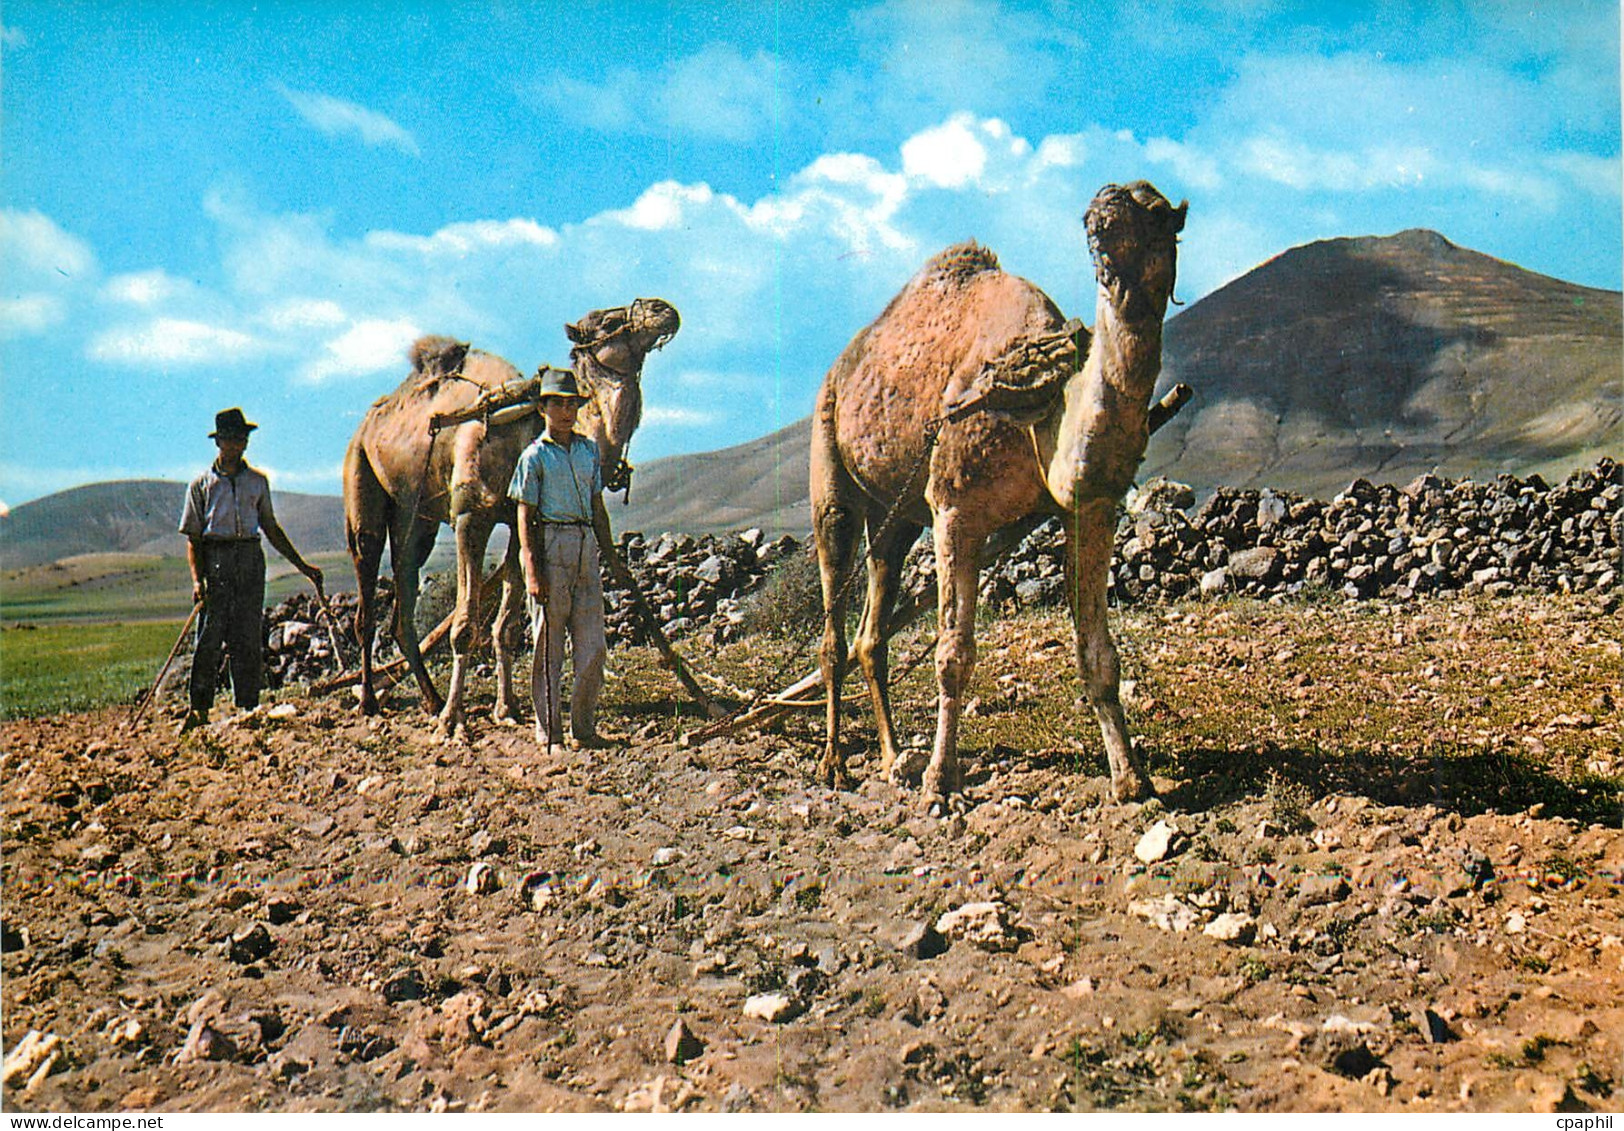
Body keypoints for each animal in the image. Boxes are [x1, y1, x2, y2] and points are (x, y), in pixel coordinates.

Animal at [343, 298, 680, 734]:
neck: (528, 424)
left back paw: (430, 699)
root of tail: (369, 422)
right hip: (361, 476)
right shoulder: (471, 515)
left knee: (404, 597)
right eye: (607, 322)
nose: (664, 309)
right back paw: (372, 700)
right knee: (366, 595)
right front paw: (454, 718)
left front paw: (506, 708)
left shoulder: (521, 521)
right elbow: (465, 627)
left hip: (416, 519)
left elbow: (506, 627)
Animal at [811, 181, 1186, 804]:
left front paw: (1131, 779)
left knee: (873, 629)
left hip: (896, 514)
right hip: (830, 461)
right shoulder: (956, 510)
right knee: (834, 625)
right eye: (1102, 212)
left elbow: (1098, 654)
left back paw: (891, 759)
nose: (1105, 207)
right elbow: (952, 656)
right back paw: (834, 765)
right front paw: (941, 782)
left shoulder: (1089, 509)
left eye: (1159, 214)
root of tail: (844, 361)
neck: (1040, 408)